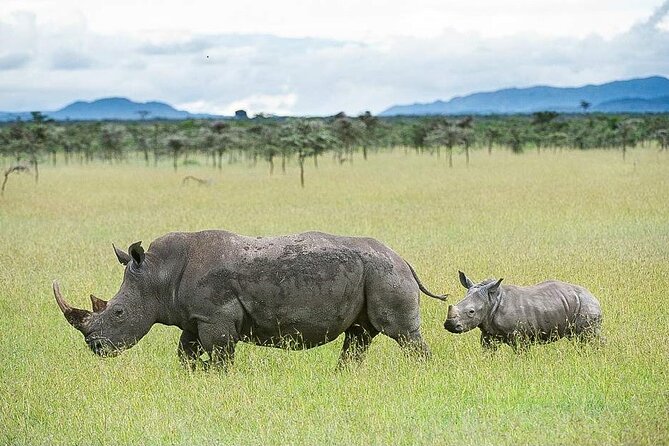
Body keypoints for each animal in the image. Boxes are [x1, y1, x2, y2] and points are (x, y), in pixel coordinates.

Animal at [53, 230, 447, 369]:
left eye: (118, 312)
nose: (95, 348)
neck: (158, 275)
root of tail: (404, 259)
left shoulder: (215, 317)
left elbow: (221, 356)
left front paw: (216, 377)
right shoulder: (195, 317)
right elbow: (185, 353)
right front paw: (192, 374)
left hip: (385, 273)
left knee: (402, 334)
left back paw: (423, 374)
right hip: (373, 274)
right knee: (359, 335)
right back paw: (344, 377)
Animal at [443, 271, 602, 352]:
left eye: (471, 312)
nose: (449, 325)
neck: (492, 300)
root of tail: (593, 295)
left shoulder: (520, 336)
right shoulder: (488, 334)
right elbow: (488, 350)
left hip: (586, 305)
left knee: (589, 336)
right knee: (576, 338)